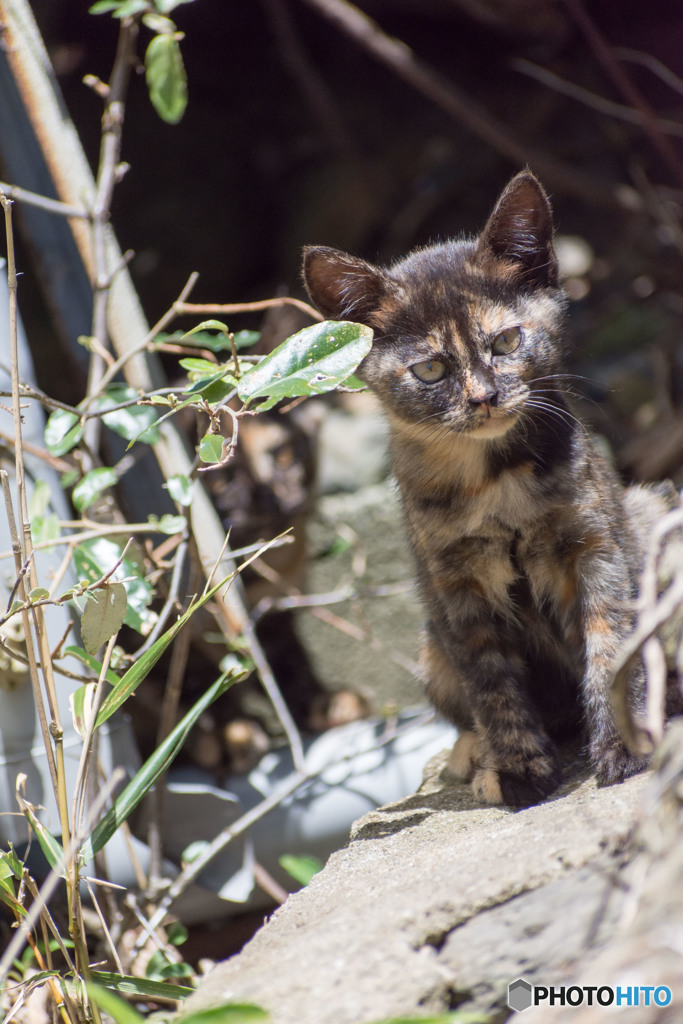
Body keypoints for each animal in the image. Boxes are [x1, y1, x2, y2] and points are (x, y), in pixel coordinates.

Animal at [303, 169, 671, 806]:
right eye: (430, 370)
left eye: (505, 342)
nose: (484, 397)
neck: (494, 478)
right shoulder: (455, 585)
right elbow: (491, 683)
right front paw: (520, 768)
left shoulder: (596, 547)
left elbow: (611, 647)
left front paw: (623, 749)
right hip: (429, 647)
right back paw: (474, 754)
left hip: (652, 518)